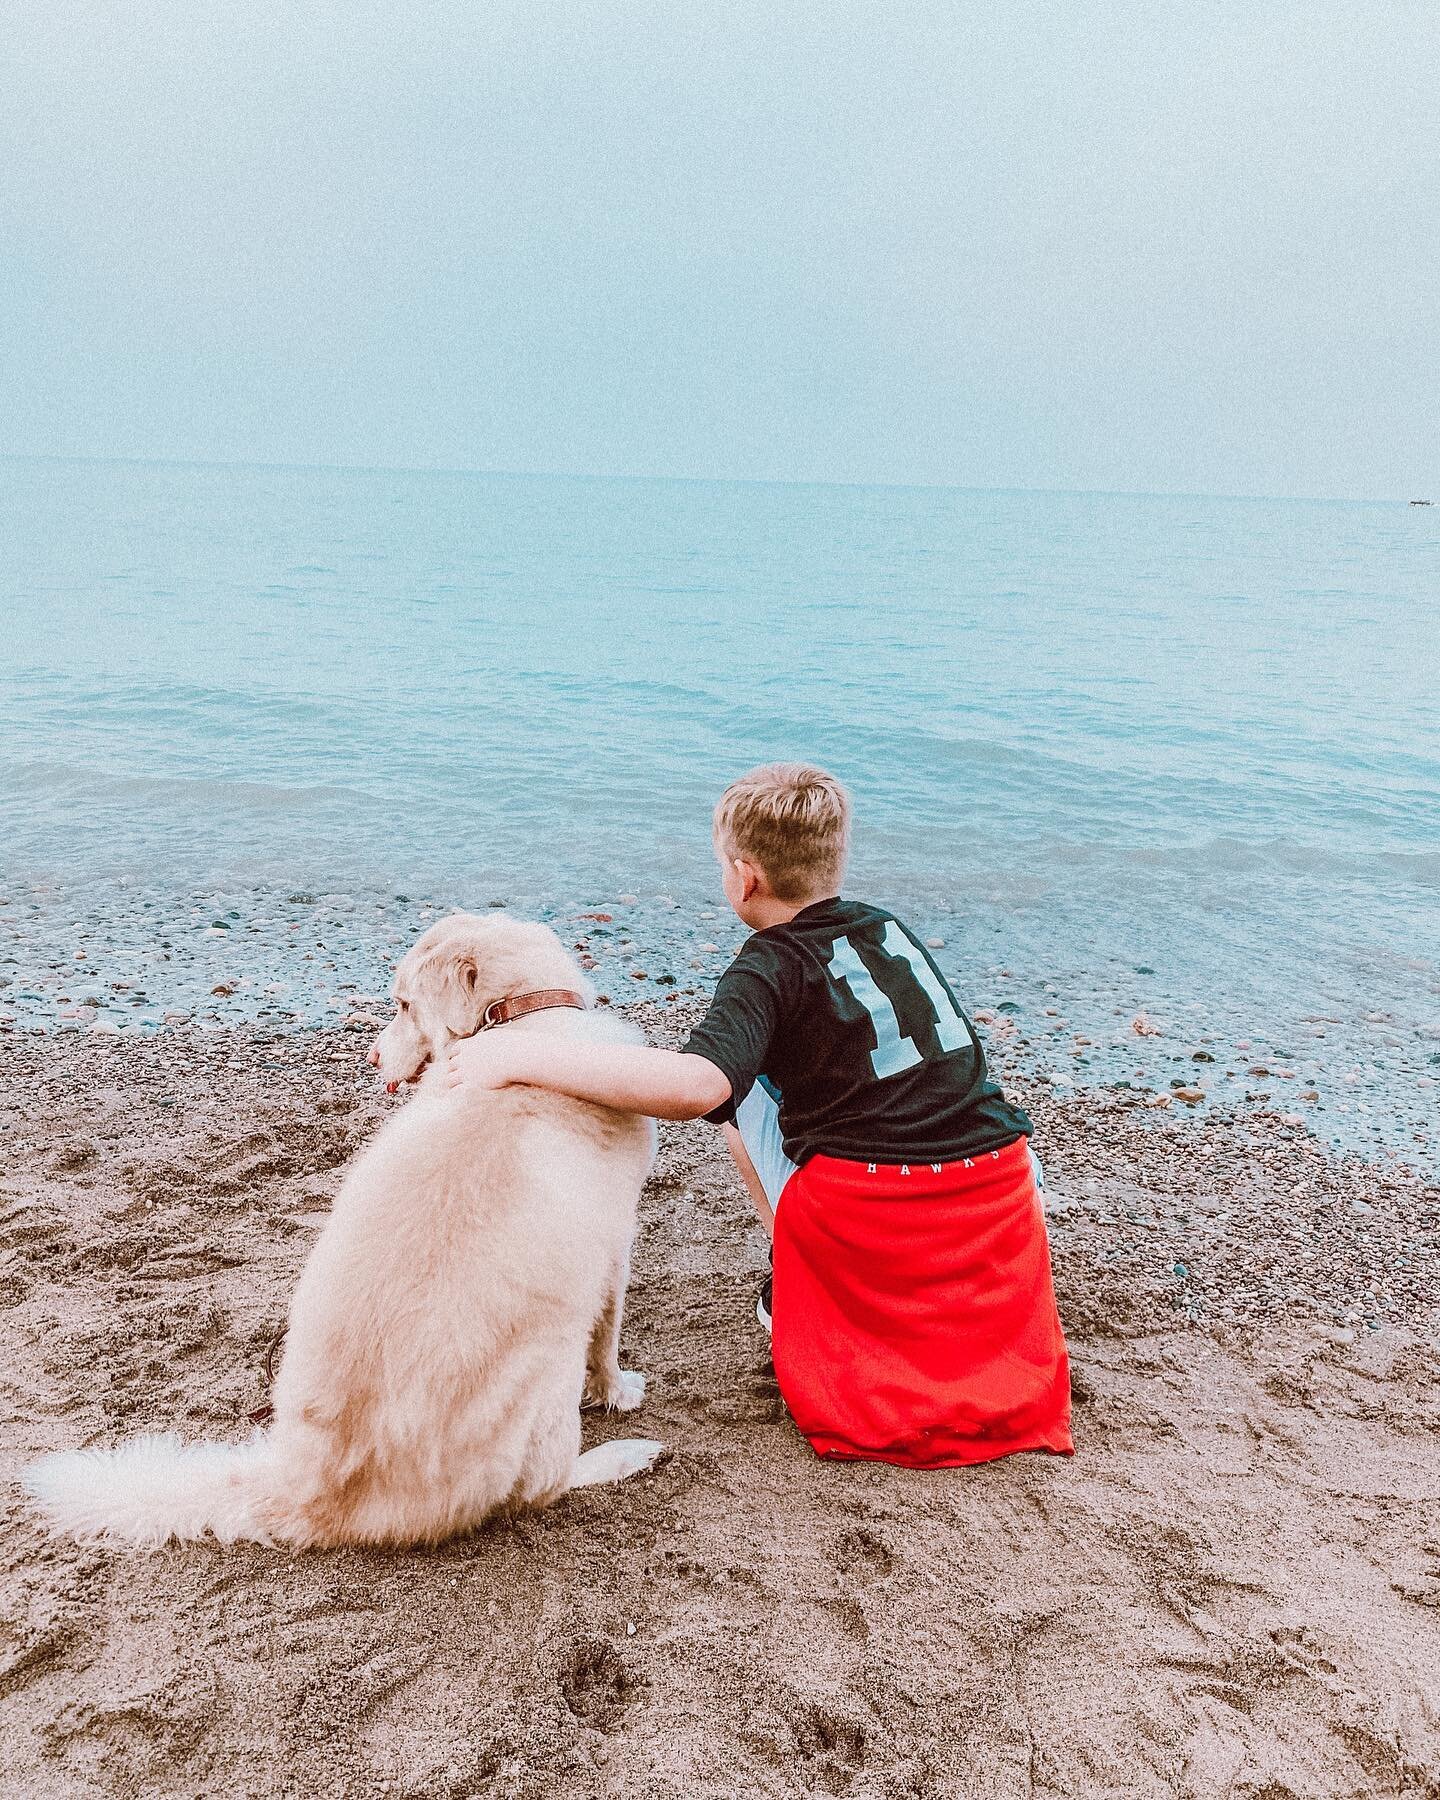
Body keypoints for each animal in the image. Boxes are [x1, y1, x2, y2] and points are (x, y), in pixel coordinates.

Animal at [23, 914, 662, 1548]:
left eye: (403, 1005)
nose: (374, 1059)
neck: (524, 1018)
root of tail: (308, 1492)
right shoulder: (614, 1246)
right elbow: (607, 1343)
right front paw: (617, 1392)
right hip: (548, 1357)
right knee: (539, 1487)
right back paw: (622, 1457)